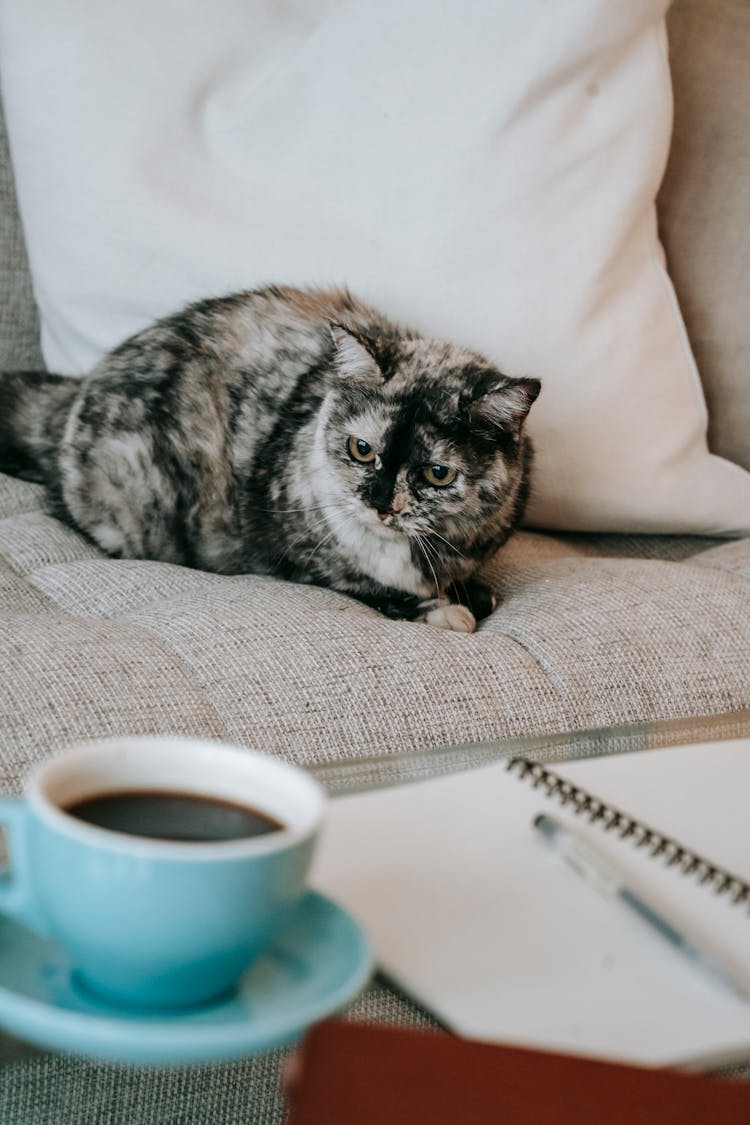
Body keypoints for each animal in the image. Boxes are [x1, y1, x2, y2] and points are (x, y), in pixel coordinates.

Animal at [0, 283, 539, 634]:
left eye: (437, 473)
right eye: (361, 449)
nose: (380, 504)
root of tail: (77, 389)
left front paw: (470, 593)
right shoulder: (293, 551)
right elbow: (361, 583)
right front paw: (439, 608)